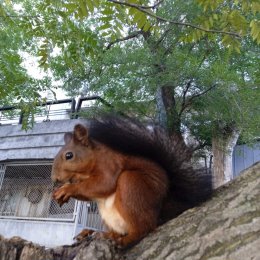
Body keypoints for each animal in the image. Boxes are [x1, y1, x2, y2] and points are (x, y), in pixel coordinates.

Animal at [51, 117, 212, 247]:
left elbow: (104, 184)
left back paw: (123, 241)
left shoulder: (110, 165)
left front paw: (67, 189)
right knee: (119, 231)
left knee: (143, 229)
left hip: (132, 185)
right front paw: (63, 189)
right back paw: (97, 233)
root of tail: (162, 210)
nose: (54, 178)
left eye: (69, 155)